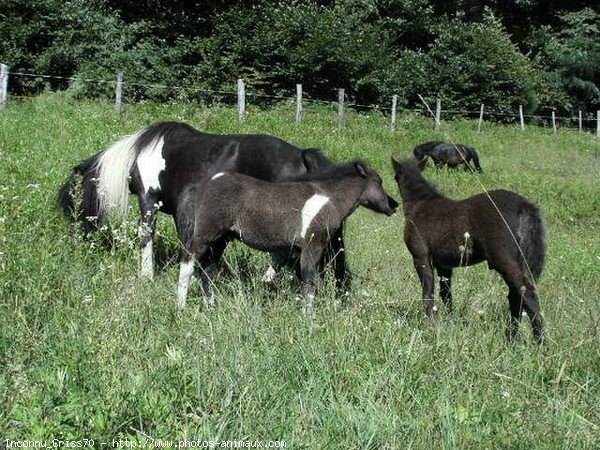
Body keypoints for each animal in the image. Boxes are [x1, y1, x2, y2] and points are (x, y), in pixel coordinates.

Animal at [58, 119, 398, 288]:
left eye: (72, 200)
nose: (74, 242)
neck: (142, 155)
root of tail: (301, 155)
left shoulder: (148, 200)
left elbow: (146, 237)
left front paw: (147, 275)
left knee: (284, 256)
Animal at [176, 160, 396, 312]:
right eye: (379, 182)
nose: (394, 205)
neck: (329, 199)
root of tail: (204, 184)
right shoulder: (312, 246)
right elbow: (310, 283)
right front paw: (308, 318)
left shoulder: (296, 251)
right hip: (204, 235)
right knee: (187, 264)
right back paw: (181, 307)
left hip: (220, 240)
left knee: (207, 271)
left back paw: (211, 306)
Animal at [392, 158, 548, 342]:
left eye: (395, 176)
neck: (420, 204)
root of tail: (525, 206)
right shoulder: (444, 265)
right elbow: (446, 294)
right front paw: (449, 321)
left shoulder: (420, 257)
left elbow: (428, 290)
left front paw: (429, 323)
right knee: (516, 298)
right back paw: (512, 339)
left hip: (504, 261)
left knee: (527, 295)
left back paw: (539, 342)